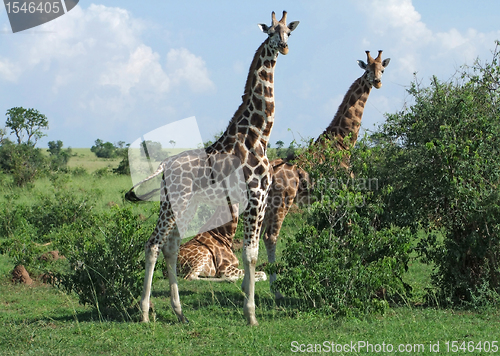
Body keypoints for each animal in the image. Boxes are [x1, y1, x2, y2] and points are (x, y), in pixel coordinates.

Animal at [124, 11, 298, 326]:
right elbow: (251, 253)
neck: (259, 135)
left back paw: (180, 313)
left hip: (184, 203)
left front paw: (247, 302)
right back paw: (144, 312)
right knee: (153, 244)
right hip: (174, 202)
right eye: (270, 31)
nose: (284, 46)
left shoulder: (261, 198)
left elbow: (254, 251)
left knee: (171, 246)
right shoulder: (255, 196)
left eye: (288, 32)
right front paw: (251, 314)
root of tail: (164, 165)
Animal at [262, 48, 390, 296]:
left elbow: (334, 230)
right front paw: (346, 271)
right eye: (368, 69)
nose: (378, 82)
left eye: (382, 68)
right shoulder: (343, 191)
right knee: (271, 236)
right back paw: (276, 291)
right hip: (282, 200)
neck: (343, 142)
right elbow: (346, 229)